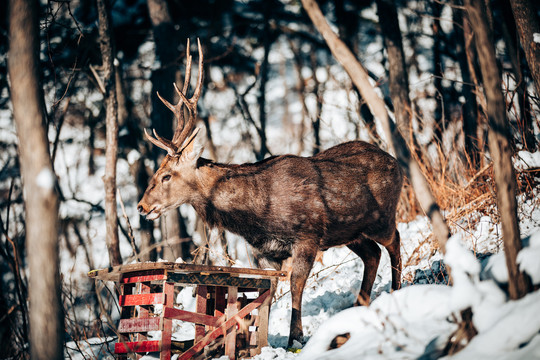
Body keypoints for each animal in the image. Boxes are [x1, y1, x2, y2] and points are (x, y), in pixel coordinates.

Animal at [137, 39, 402, 346]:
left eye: (166, 175)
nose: (141, 206)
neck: (257, 213)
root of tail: (395, 161)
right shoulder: (265, 251)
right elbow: (268, 291)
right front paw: (250, 337)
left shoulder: (308, 236)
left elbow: (296, 286)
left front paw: (294, 338)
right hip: (350, 232)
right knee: (372, 253)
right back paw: (359, 307)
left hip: (382, 217)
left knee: (394, 241)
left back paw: (396, 290)